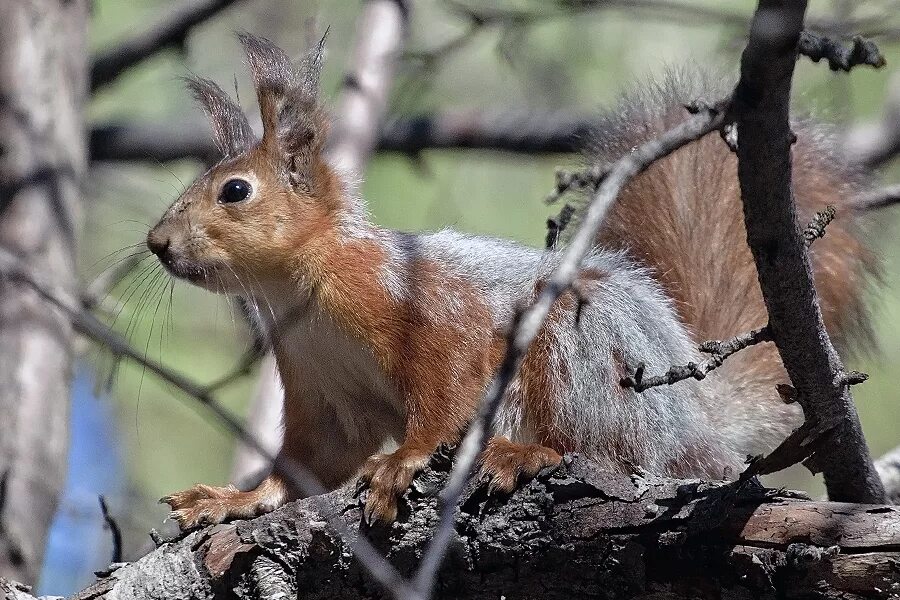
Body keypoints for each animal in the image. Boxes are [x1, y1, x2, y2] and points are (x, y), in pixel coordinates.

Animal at [151, 35, 876, 528]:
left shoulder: (423, 310)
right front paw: (234, 500)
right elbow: (310, 463)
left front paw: (402, 462)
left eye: (235, 191)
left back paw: (522, 455)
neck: (301, 292)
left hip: (578, 347)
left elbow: (443, 392)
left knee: (603, 449)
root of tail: (696, 425)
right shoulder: (319, 390)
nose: (157, 244)